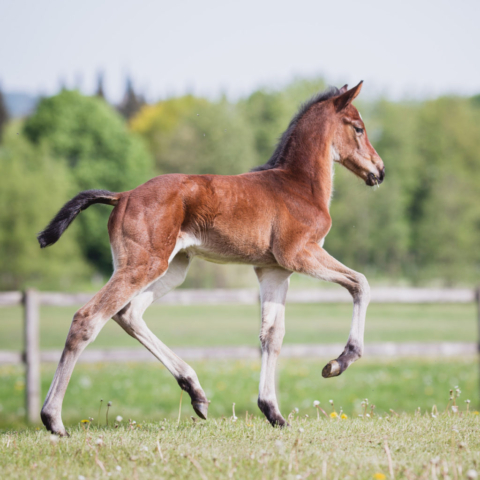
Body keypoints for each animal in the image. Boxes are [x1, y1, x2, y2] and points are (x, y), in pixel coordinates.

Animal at [37, 80, 386, 434]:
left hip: (172, 267)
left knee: (128, 313)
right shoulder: (299, 253)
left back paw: (196, 392)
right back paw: (53, 419)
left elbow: (272, 335)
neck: (297, 185)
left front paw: (273, 412)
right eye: (358, 128)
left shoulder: (273, 269)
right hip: (144, 264)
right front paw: (340, 361)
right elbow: (361, 283)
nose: (379, 170)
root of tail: (123, 196)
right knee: (88, 318)